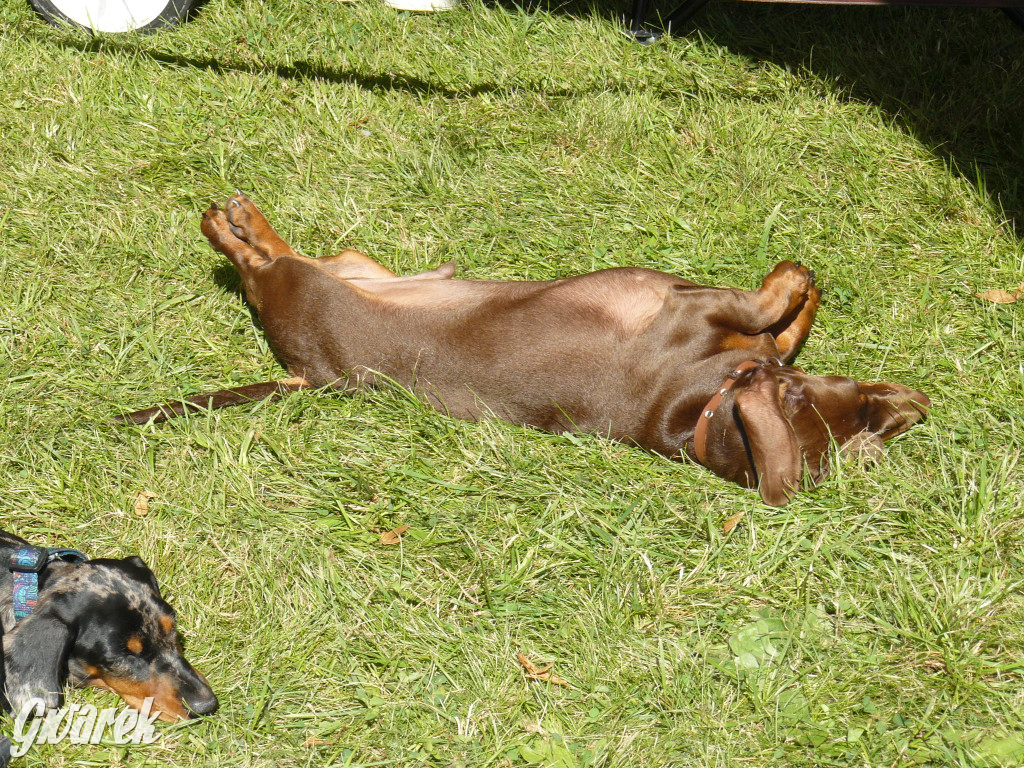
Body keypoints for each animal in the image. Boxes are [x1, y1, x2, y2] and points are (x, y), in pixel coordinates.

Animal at [119, 193, 929, 505]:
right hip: (342, 270)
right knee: (281, 259)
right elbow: (776, 317)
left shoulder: (709, 320)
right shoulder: (703, 311)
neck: (702, 404)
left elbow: (771, 320)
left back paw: (232, 220)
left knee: (265, 265)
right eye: (857, 397)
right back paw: (238, 219)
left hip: (315, 286)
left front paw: (795, 282)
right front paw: (799, 281)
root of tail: (306, 375)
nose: (910, 403)